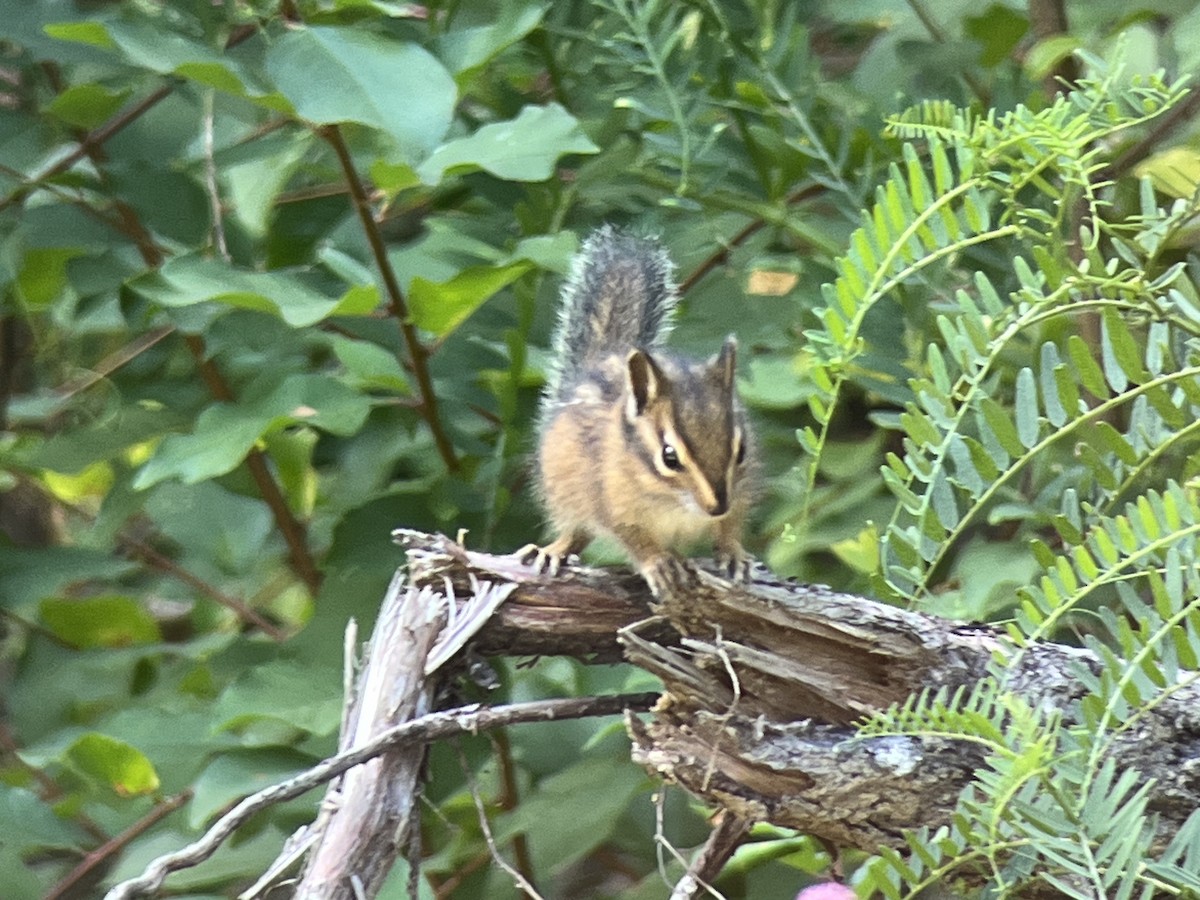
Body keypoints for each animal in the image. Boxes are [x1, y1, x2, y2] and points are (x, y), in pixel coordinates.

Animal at [518, 225, 755, 597]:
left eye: (741, 450)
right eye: (669, 457)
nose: (717, 505)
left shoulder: (740, 495)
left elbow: (731, 526)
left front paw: (734, 553)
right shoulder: (614, 505)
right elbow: (633, 540)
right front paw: (657, 563)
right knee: (576, 530)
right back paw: (553, 551)